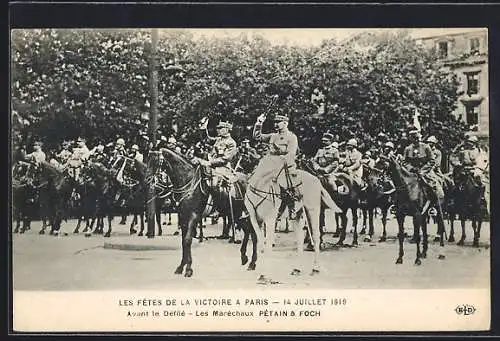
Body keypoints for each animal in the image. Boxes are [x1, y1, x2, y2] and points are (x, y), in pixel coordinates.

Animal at [158, 147, 256, 278]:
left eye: (155, 162)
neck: (189, 181)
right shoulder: (183, 217)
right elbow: (184, 241)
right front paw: (181, 267)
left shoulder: (193, 217)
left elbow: (187, 240)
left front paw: (188, 269)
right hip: (236, 214)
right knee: (247, 230)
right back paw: (244, 257)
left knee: (253, 233)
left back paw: (252, 263)